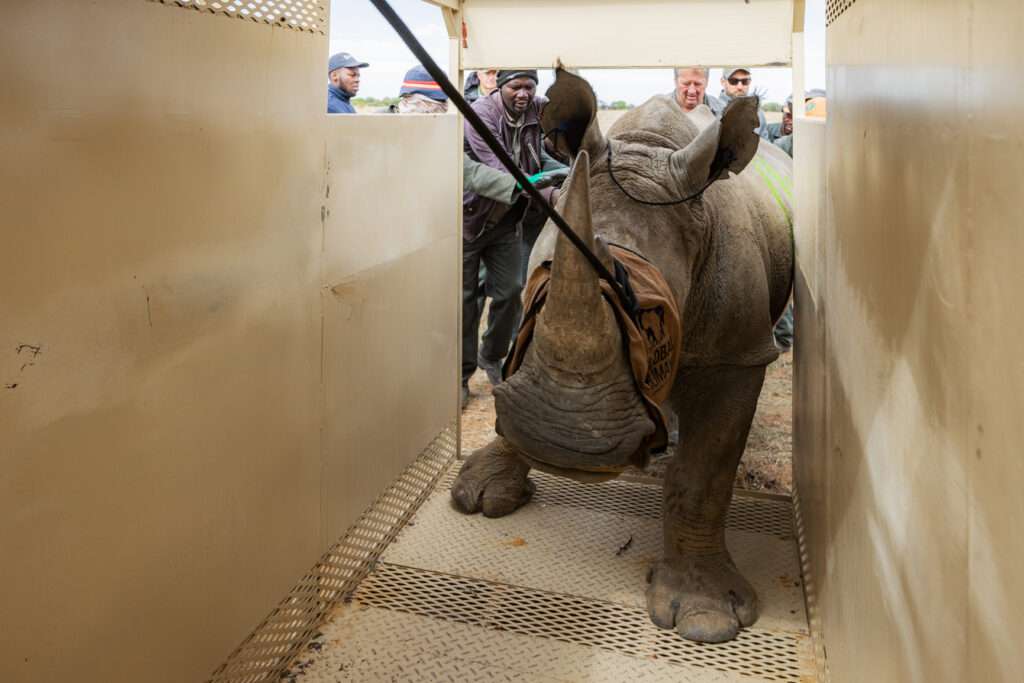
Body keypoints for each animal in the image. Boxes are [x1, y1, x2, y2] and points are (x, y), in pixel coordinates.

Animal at [451, 69, 794, 644]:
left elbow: (705, 475)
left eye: (650, 320)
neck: (648, 150)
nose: (564, 444)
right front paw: (479, 494)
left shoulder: (739, 353)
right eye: (537, 299)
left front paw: (705, 618)